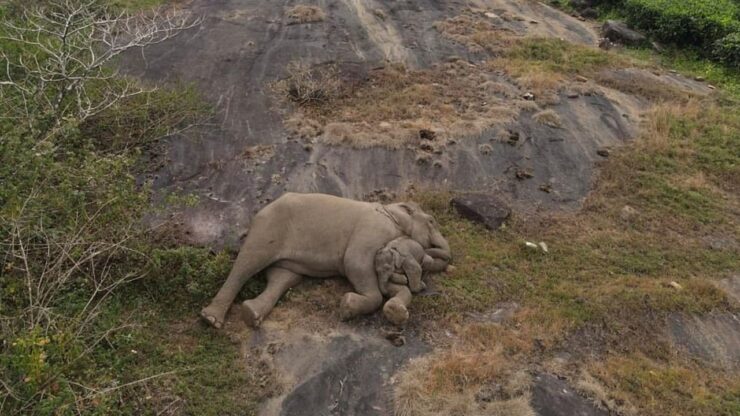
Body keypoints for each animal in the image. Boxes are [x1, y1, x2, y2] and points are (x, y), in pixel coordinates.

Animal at [199, 193, 450, 328]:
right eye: (431, 221)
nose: (422, 286)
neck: (391, 209)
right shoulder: (372, 229)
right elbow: (356, 263)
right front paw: (347, 306)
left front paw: (396, 310)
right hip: (268, 228)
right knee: (247, 264)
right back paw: (211, 319)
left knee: (283, 277)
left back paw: (251, 314)